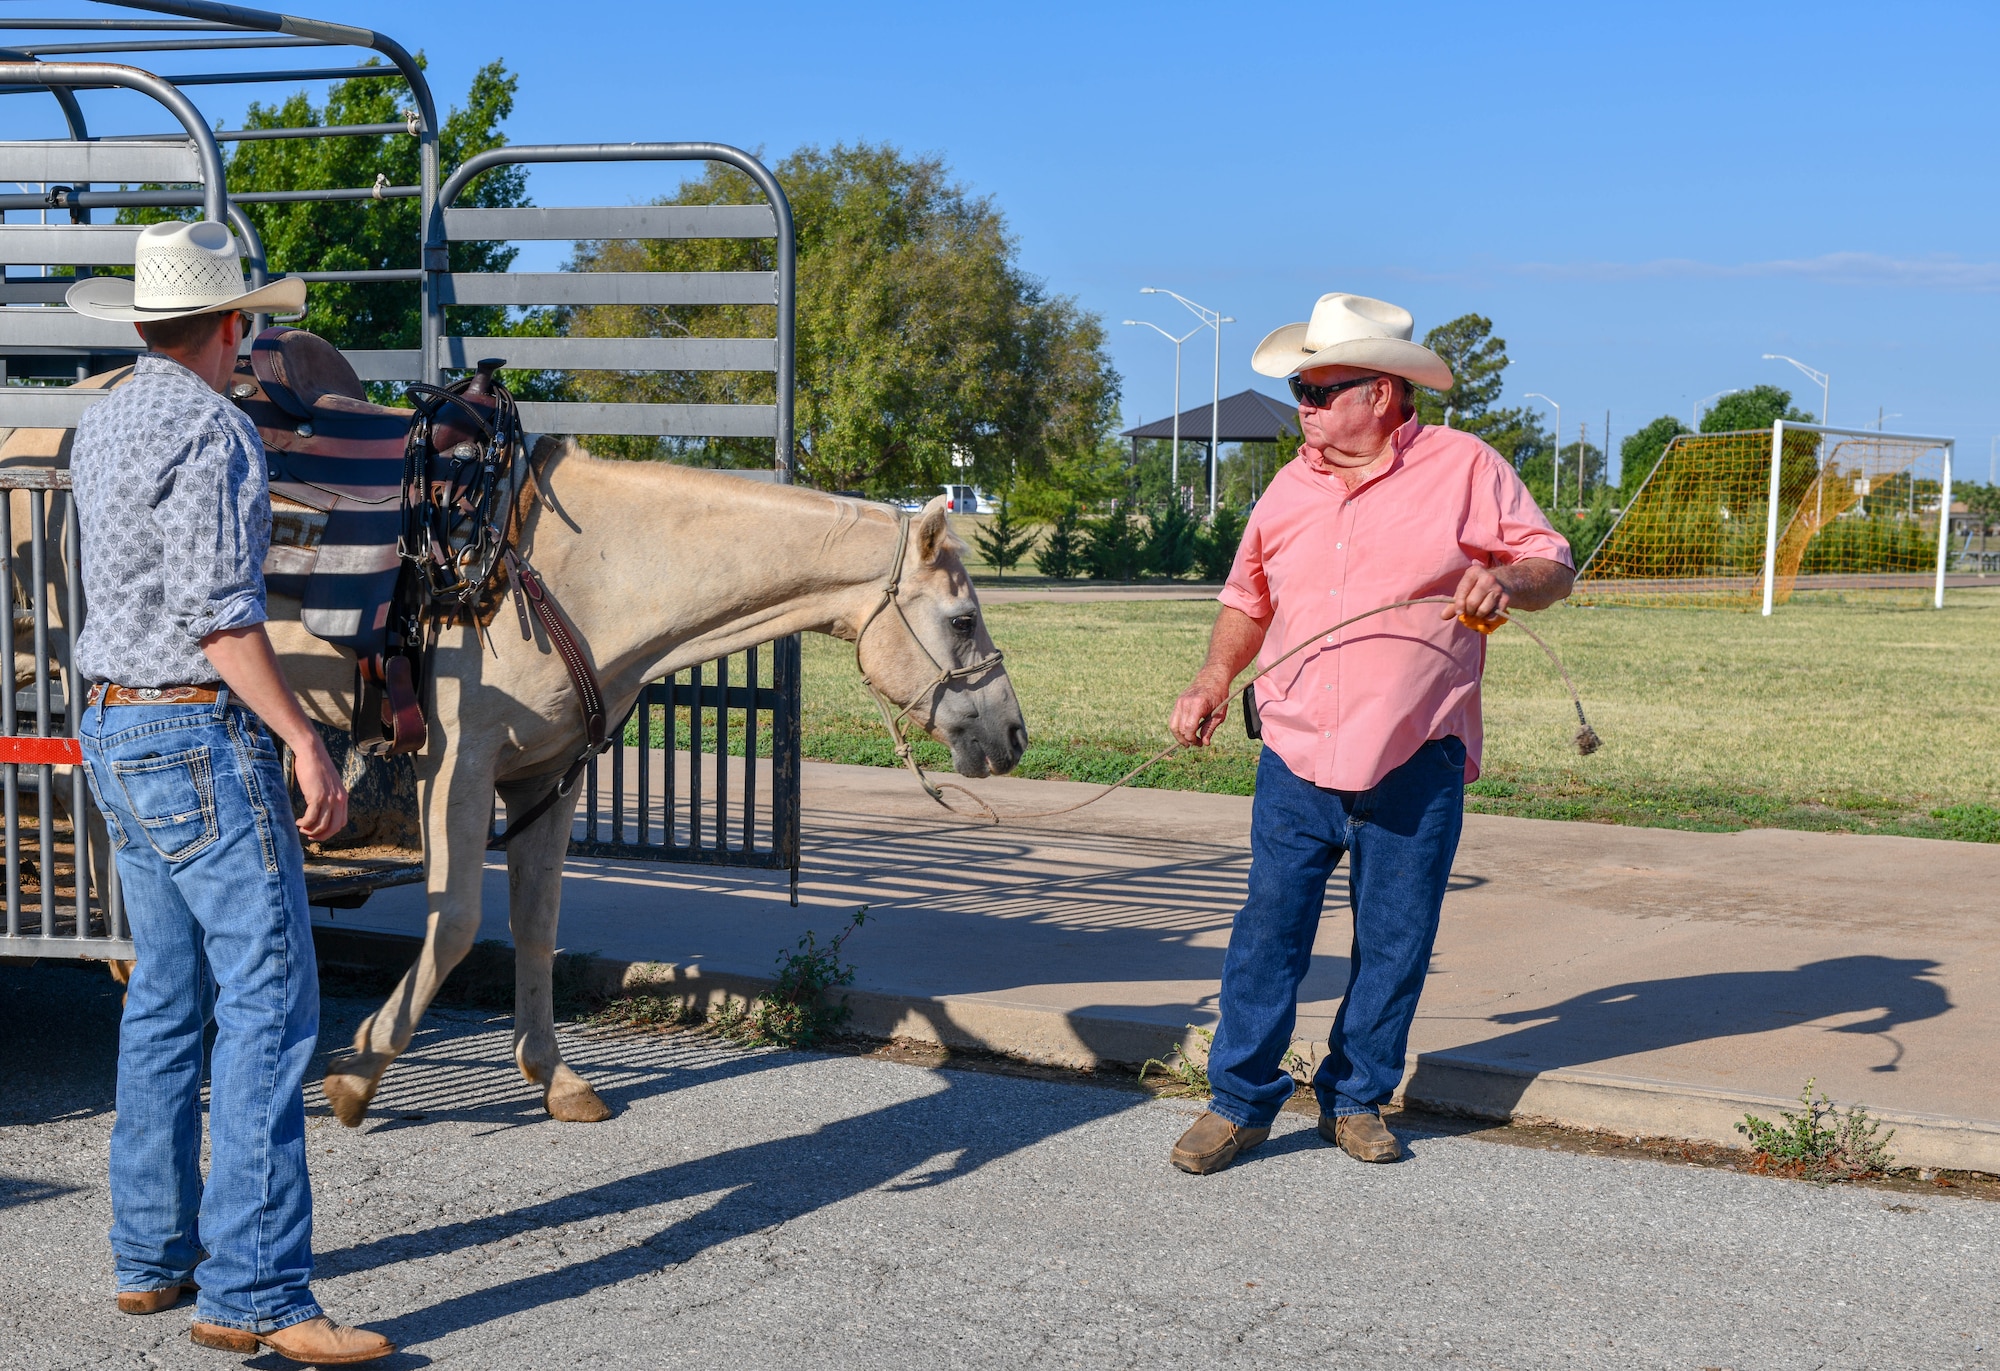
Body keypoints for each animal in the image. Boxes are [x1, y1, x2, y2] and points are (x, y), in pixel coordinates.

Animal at [0, 415, 1024, 1127]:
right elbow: (454, 922)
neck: (587, 565)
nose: (1012, 736)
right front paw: (357, 1071)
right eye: (963, 619)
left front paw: (555, 1075)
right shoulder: (458, 764)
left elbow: (536, 923)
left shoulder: (546, 775)